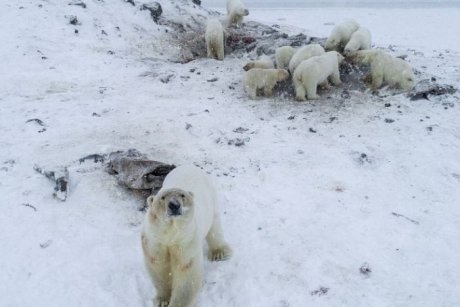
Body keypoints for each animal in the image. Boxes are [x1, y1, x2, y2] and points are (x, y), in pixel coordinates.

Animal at [142, 166, 232, 307]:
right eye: (162, 197)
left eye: (182, 195)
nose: (174, 204)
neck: (171, 233)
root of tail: (189, 166)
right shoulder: (155, 240)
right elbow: (159, 267)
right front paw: (162, 300)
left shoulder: (186, 241)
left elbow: (187, 273)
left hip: (211, 200)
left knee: (215, 226)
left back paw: (219, 253)